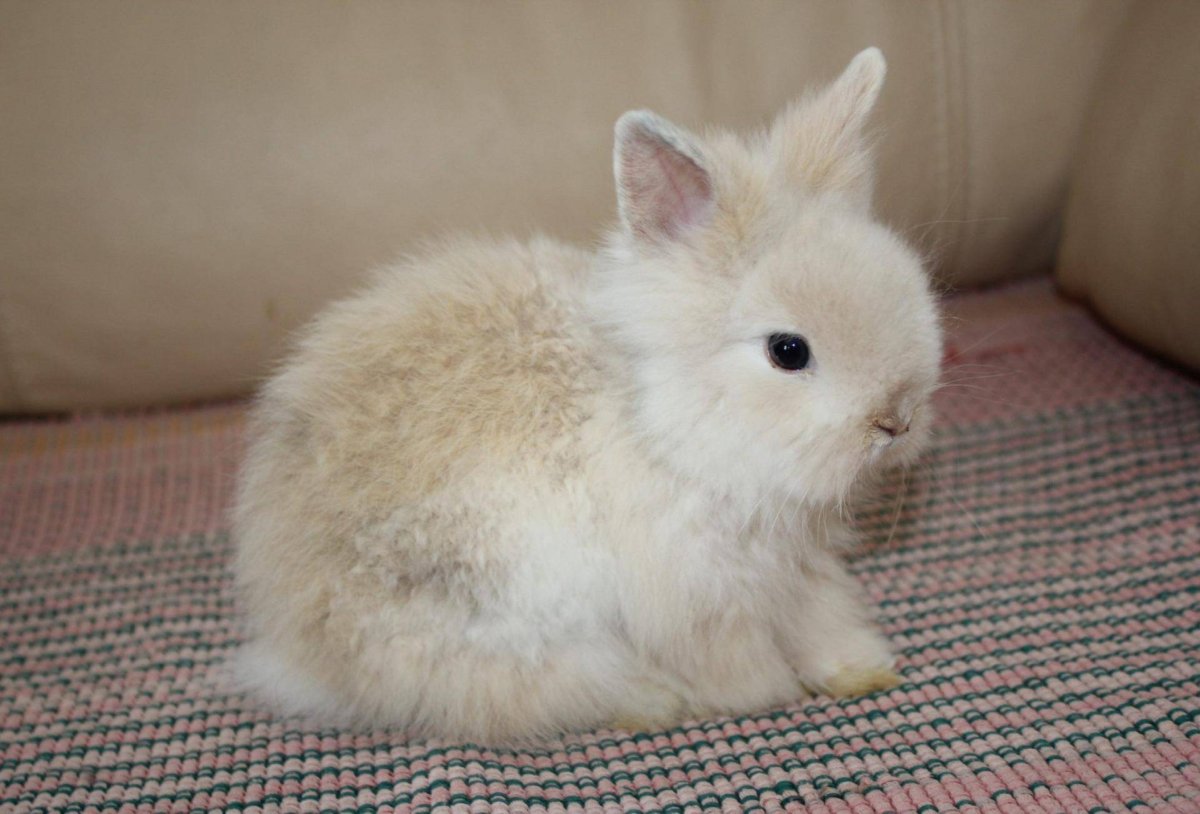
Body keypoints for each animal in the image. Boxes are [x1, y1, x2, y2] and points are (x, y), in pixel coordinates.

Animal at [232, 47, 943, 744]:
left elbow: (820, 615)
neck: (660, 420)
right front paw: (763, 690)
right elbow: (728, 653)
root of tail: (301, 643)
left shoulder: (796, 565)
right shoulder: (696, 586)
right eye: (787, 351)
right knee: (532, 688)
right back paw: (653, 701)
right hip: (489, 617)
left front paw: (861, 669)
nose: (896, 421)